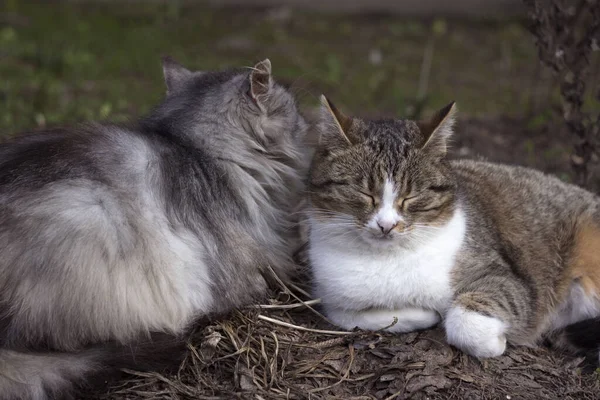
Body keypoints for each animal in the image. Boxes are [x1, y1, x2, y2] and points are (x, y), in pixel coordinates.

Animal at [310, 97, 600, 362]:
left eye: (411, 196)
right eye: (365, 193)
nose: (386, 225)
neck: (387, 259)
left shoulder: (510, 279)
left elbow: (468, 318)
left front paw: (493, 342)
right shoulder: (335, 302)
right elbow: (355, 318)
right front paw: (424, 314)